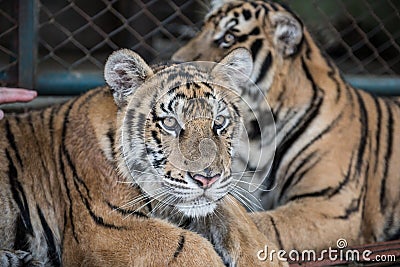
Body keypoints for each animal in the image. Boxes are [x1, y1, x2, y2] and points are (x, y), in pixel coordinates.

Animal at [0, 49, 284, 266]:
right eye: (170, 123)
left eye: (219, 122)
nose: (207, 180)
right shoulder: (105, 229)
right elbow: (188, 246)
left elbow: (231, 212)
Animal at [173, 0, 400, 253]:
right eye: (201, 29)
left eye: (229, 37)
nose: (175, 63)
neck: (256, 133)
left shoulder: (330, 204)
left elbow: (265, 224)